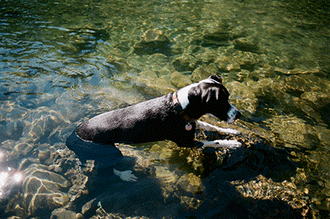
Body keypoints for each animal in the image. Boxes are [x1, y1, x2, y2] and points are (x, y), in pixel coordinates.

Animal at [67, 75, 241, 181]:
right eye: (221, 101)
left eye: (228, 97)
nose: (238, 114)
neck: (181, 107)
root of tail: (71, 138)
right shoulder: (185, 142)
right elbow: (215, 142)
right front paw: (233, 144)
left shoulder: (192, 122)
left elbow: (211, 125)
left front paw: (231, 132)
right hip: (110, 151)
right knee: (109, 168)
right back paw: (126, 175)